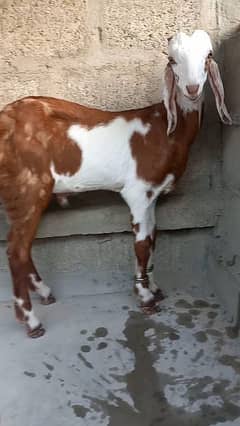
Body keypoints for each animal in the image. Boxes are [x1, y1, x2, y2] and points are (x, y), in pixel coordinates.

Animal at [0, 28, 232, 338]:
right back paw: (32, 321)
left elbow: (154, 238)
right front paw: (145, 298)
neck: (165, 130)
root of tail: (4, 118)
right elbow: (142, 243)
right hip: (27, 188)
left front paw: (154, 287)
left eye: (208, 56)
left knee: (23, 248)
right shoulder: (137, 192)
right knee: (16, 250)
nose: (192, 89)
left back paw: (45, 293)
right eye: (172, 60)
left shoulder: (152, 195)